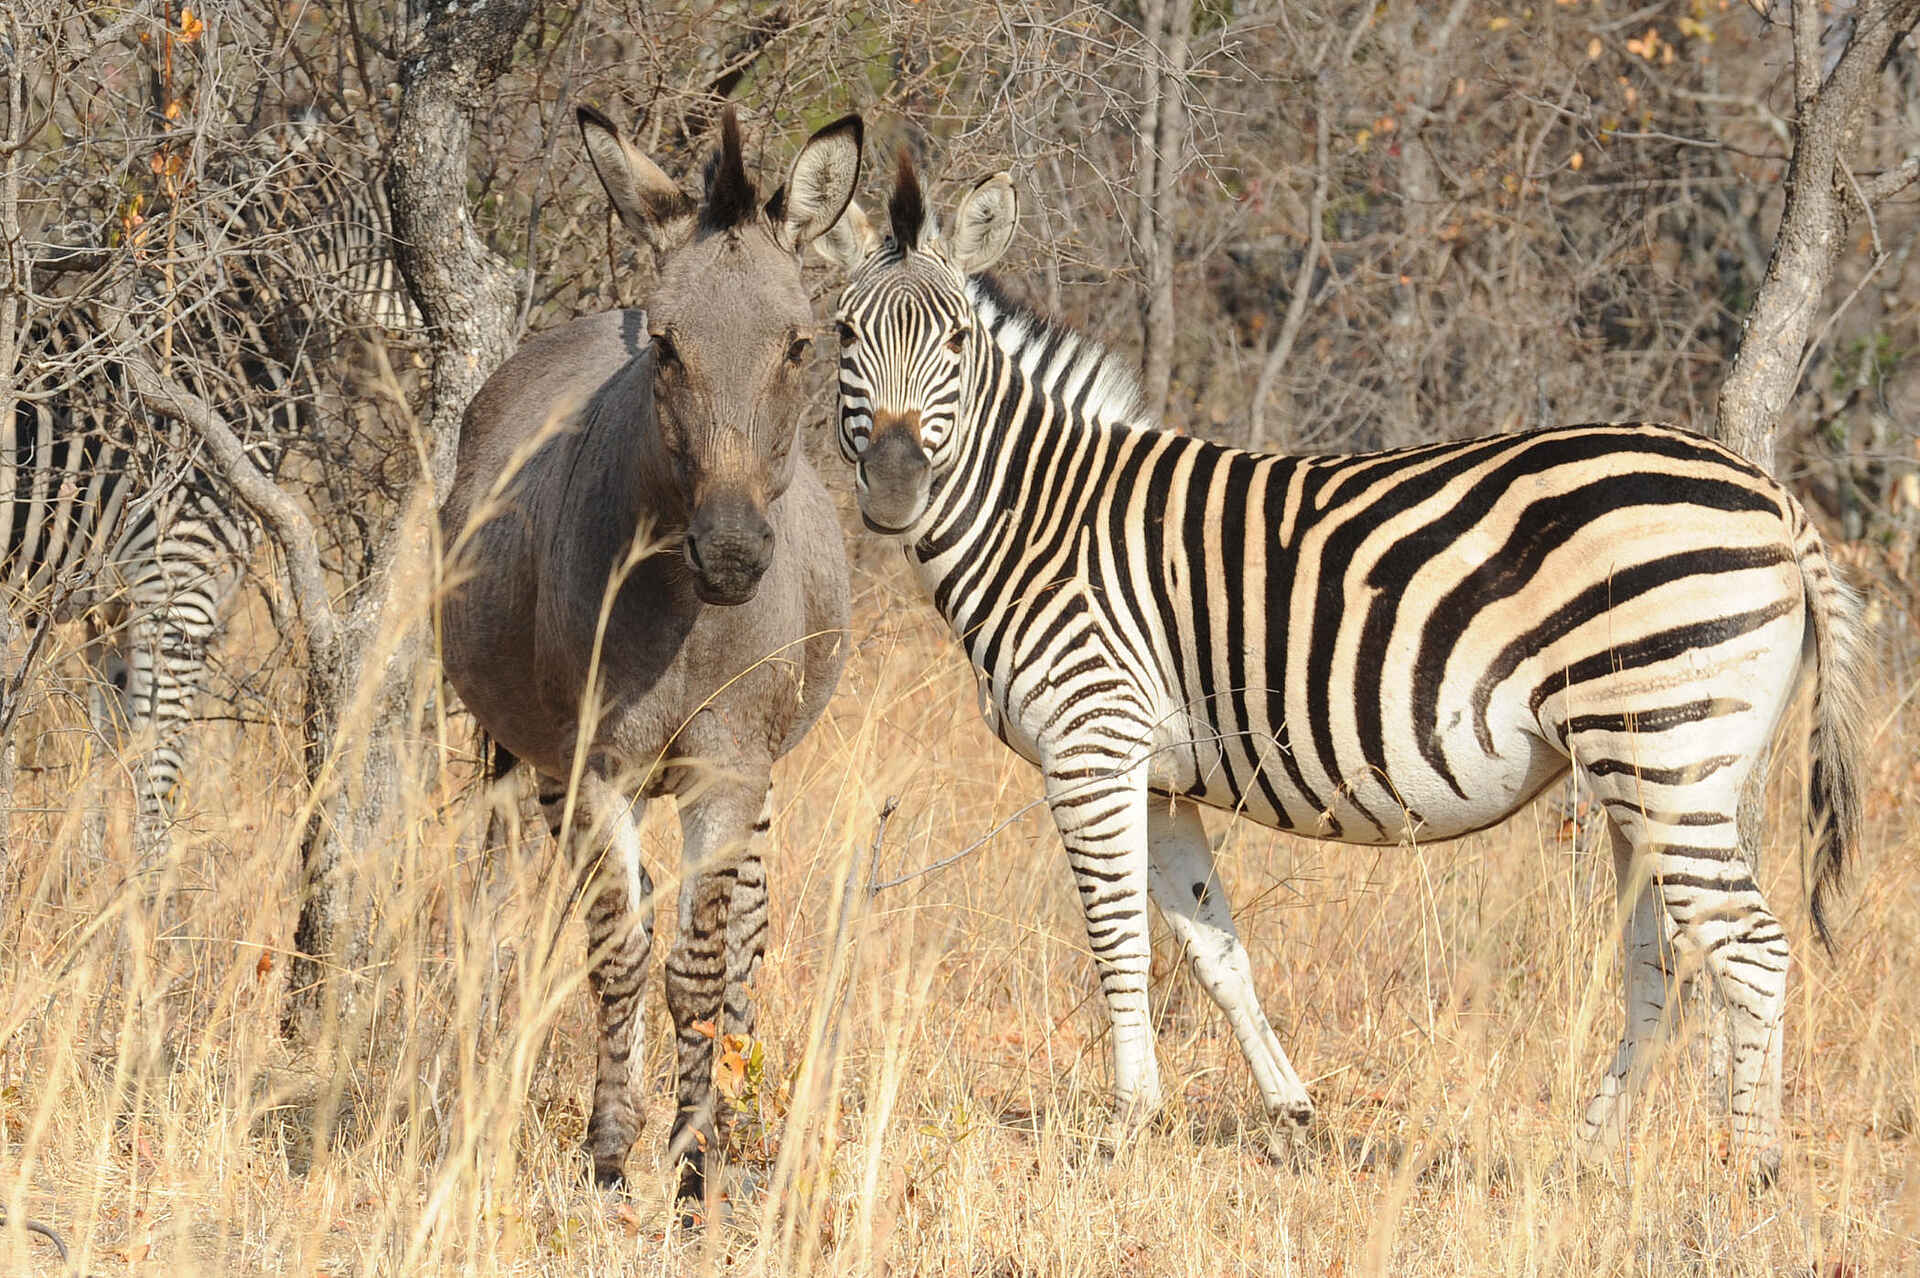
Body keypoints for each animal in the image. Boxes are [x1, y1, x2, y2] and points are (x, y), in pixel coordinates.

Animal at [3, 115, 414, 847]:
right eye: (405, 242)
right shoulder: (178, 586)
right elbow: (157, 775)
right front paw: (153, 881)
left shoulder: (111, 609)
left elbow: (104, 762)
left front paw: (88, 878)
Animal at [817, 154, 1869, 1180]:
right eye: (841, 334)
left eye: (957, 342)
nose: (896, 490)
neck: (1043, 515)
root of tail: (1775, 496)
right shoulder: (1156, 778)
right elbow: (1215, 949)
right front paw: (1289, 1115)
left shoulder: (1090, 743)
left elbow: (1118, 943)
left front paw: (1123, 1131)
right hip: (1652, 773)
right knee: (1664, 963)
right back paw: (1584, 1161)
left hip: (1665, 753)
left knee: (1751, 950)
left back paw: (1749, 1177)